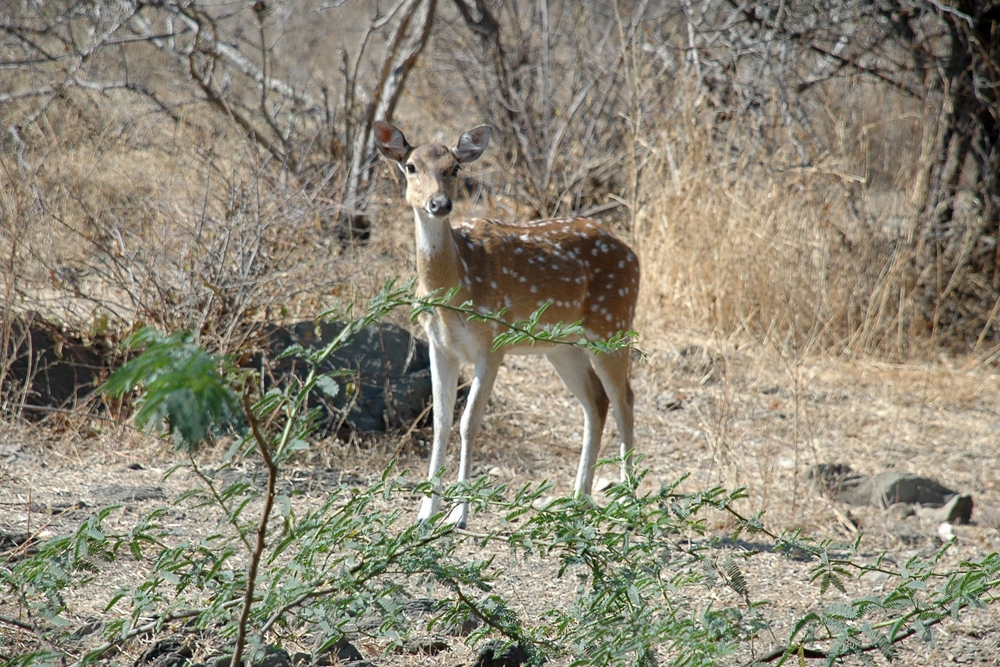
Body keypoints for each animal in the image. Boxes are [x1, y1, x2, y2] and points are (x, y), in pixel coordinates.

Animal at [376, 121, 640, 528]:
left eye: (455, 168)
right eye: (411, 166)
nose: (440, 204)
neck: (455, 285)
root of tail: (634, 256)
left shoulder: (492, 341)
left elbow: (469, 423)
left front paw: (459, 514)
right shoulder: (439, 346)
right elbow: (441, 421)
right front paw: (425, 513)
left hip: (612, 324)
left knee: (625, 398)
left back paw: (627, 500)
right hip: (562, 347)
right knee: (597, 400)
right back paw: (577, 498)